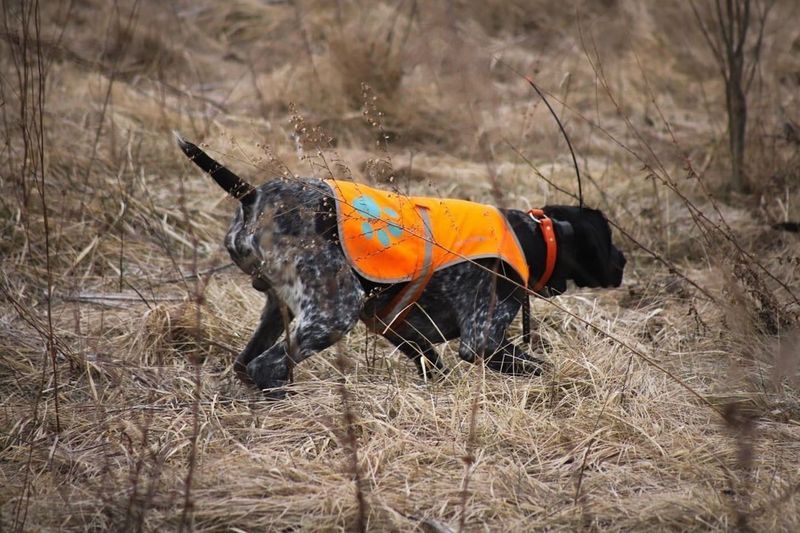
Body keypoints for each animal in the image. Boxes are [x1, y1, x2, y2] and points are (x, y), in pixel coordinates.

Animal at [175, 135, 624, 396]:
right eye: (609, 239)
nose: (623, 261)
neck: (529, 236)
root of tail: (253, 196)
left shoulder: (397, 327)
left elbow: (431, 363)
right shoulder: (483, 338)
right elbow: (536, 366)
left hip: (280, 309)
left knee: (246, 364)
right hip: (334, 314)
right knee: (267, 365)